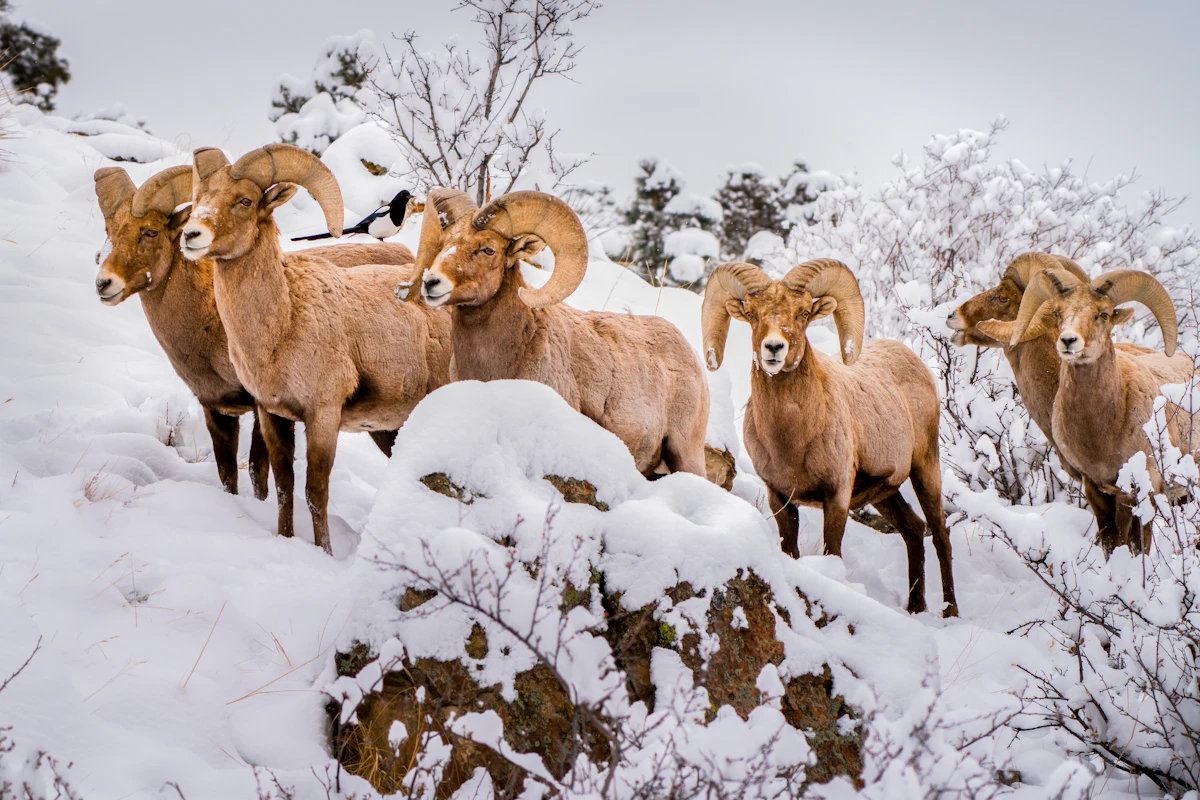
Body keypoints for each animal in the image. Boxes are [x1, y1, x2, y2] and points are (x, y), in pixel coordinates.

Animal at [93, 165, 417, 500]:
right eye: (109, 231)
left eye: (151, 232)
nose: (104, 283)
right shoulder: (217, 410)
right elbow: (227, 475)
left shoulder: (263, 409)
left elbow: (257, 472)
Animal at [179, 144, 453, 553]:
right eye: (199, 199)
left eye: (244, 201)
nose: (191, 235)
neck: (283, 322)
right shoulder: (272, 415)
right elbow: (284, 487)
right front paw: (286, 538)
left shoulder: (323, 415)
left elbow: (315, 492)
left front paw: (325, 552)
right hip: (390, 430)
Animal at [702, 260, 957, 617]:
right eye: (751, 313)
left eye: (803, 312)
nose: (774, 348)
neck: (792, 439)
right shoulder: (780, 499)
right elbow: (791, 550)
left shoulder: (836, 496)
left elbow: (832, 552)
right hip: (885, 494)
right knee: (913, 530)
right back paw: (915, 608)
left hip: (925, 468)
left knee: (939, 533)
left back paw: (950, 612)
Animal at [1008, 267, 1195, 553]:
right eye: (1058, 313)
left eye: (1104, 314)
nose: (1068, 341)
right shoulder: (1096, 489)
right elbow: (1111, 543)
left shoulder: (1142, 489)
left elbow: (1137, 544)